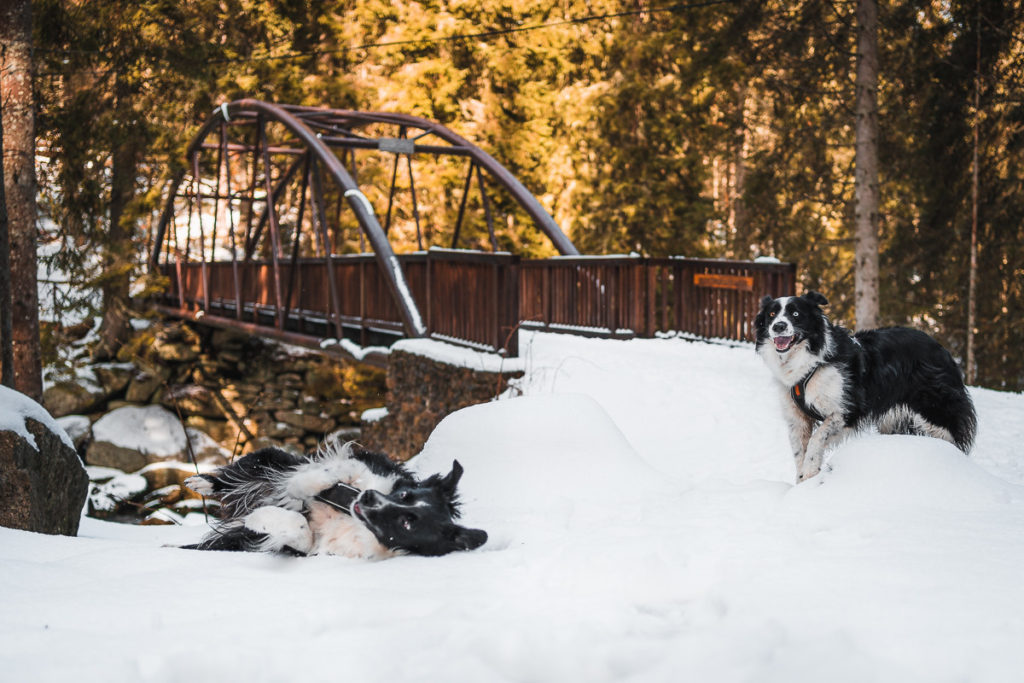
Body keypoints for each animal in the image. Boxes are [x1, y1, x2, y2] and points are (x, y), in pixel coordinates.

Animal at [184, 438, 487, 561]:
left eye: (407, 523)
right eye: (404, 495)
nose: (368, 498)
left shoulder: (307, 549)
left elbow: (300, 530)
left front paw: (263, 518)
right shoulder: (372, 466)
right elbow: (341, 470)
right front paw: (302, 484)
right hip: (269, 460)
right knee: (237, 473)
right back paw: (202, 482)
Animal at [753, 292, 974, 481]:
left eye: (796, 313)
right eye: (771, 314)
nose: (778, 326)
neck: (809, 360)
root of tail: (941, 349)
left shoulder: (847, 409)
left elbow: (817, 438)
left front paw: (809, 472)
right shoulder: (797, 419)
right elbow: (800, 451)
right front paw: (802, 484)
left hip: (934, 408)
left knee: (951, 437)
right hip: (893, 419)